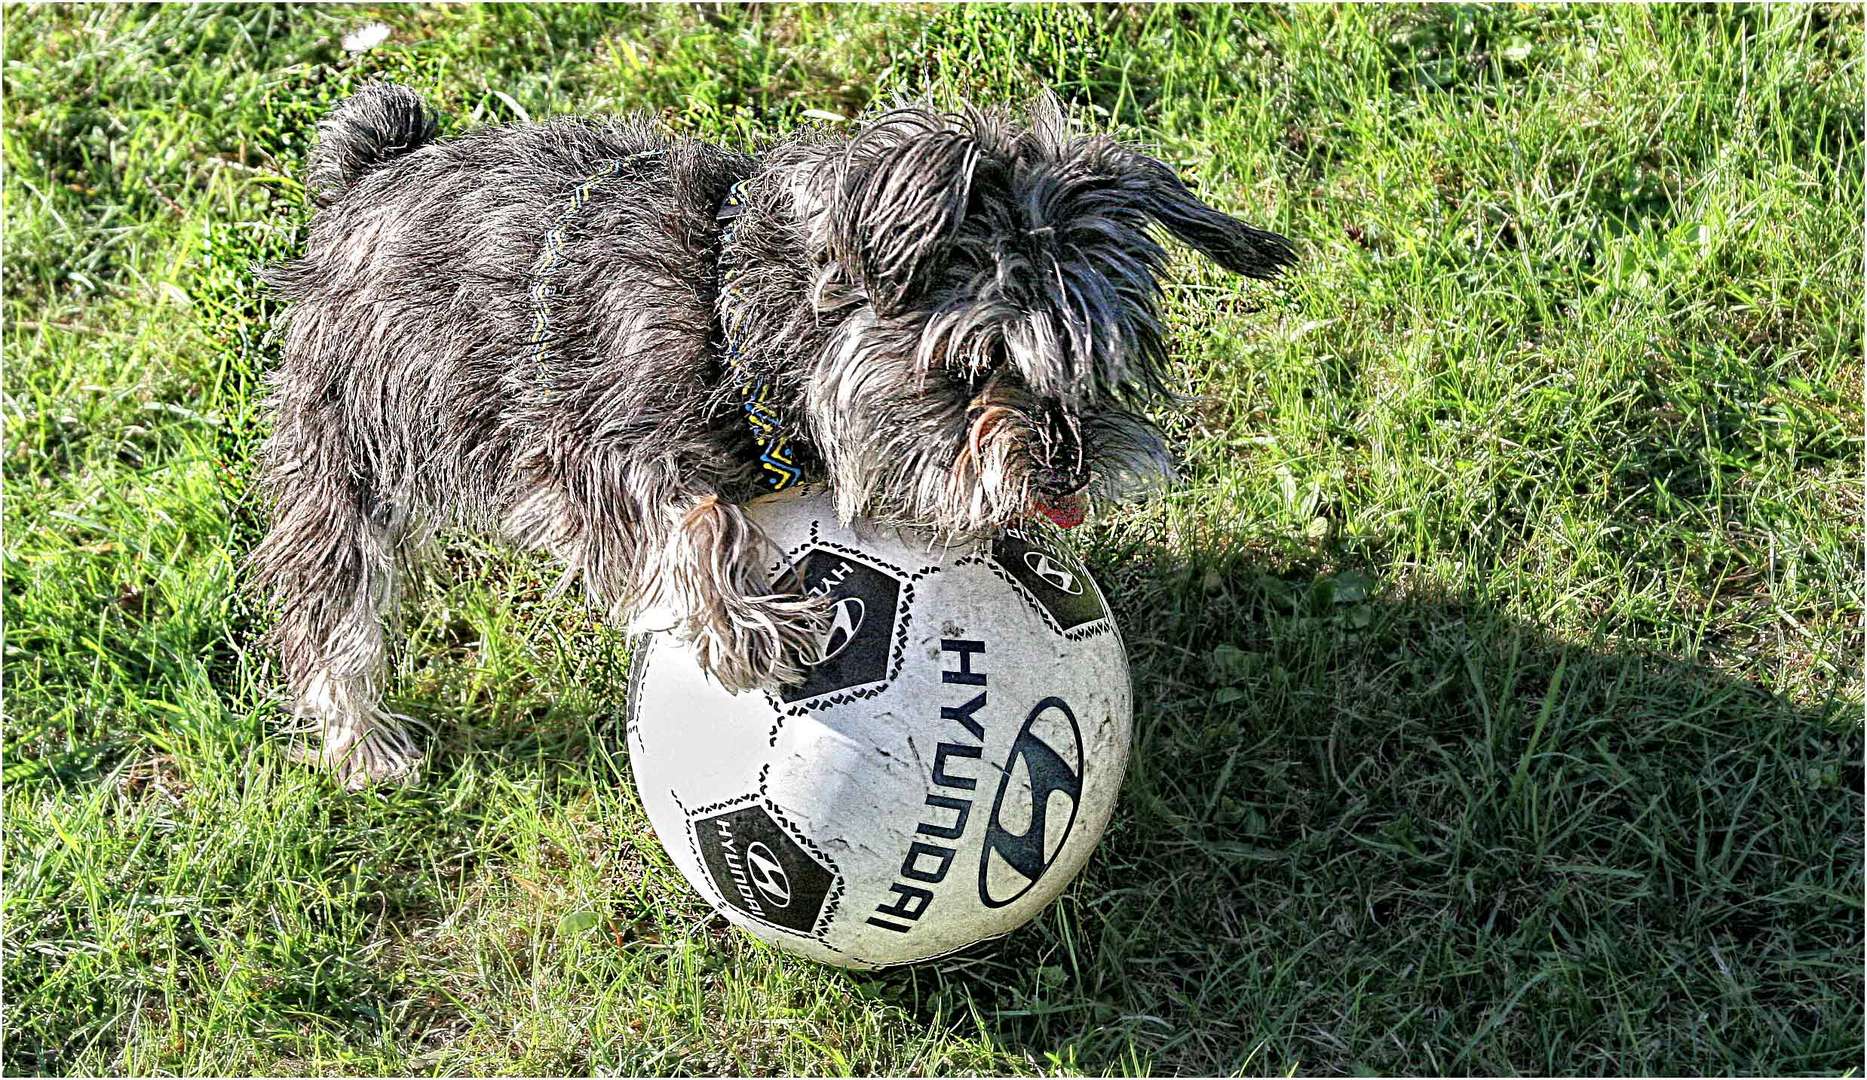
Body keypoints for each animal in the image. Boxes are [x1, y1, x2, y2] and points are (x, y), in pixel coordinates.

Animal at [255, 82, 1291, 781]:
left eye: (1106, 363)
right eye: (973, 368)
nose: (1069, 466)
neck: (735, 310)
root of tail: (364, 180)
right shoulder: (585, 457)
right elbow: (693, 517)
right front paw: (755, 628)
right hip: (344, 453)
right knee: (328, 611)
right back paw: (362, 744)